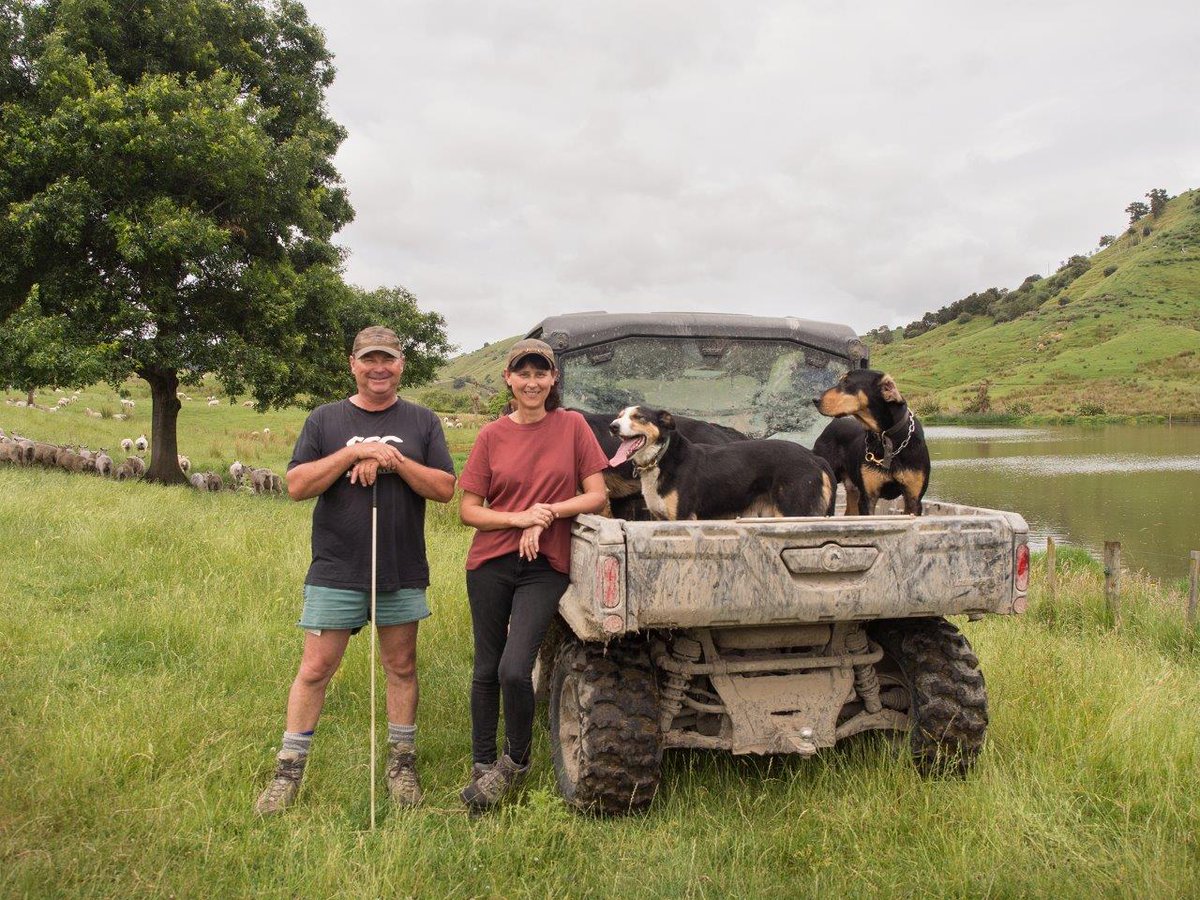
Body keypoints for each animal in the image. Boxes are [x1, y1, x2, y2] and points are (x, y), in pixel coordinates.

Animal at [609, 408, 835, 525]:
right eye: (619, 416)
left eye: (639, 417)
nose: (612, 426)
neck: (661, 457)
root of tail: (814, 458)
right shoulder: (661, 519)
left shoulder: (682, 517)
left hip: (795, 512)